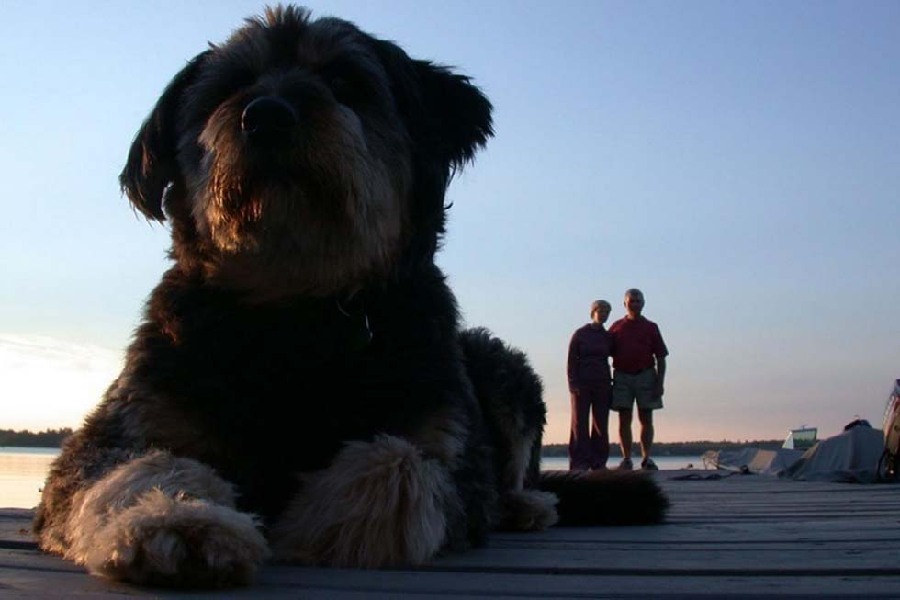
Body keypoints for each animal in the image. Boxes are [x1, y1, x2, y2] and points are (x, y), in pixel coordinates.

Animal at [33, 3, 668, 584]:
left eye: (345, 82)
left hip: (502, 364)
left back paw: (528, 505)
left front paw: (307, 521)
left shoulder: (451, 447)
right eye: (227, 89)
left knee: (517, 477)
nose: (267, 116)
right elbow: (139, 469)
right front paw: (179, 522)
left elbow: (398, 463)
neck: (296, 308)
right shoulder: (123, 427)